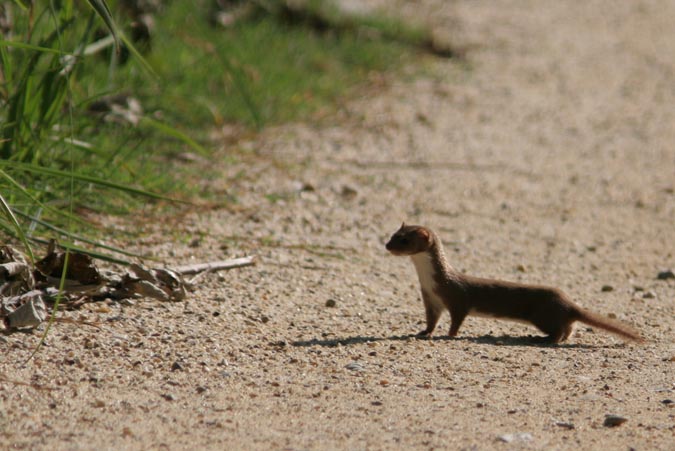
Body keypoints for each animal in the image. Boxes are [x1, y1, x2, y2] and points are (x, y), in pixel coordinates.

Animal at [386, 224, 644, 344]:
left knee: (559, 329)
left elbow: (457, 319)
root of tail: (568, 301)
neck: (429, 281)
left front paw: (449, 335)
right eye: (392, 235)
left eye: (404, 240)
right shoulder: (430, 299)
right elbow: (431, 320)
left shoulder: (457, 297)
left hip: (542, 316)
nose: (387, 246)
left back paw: (545, 339)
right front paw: (423, 333)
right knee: (570, 327)